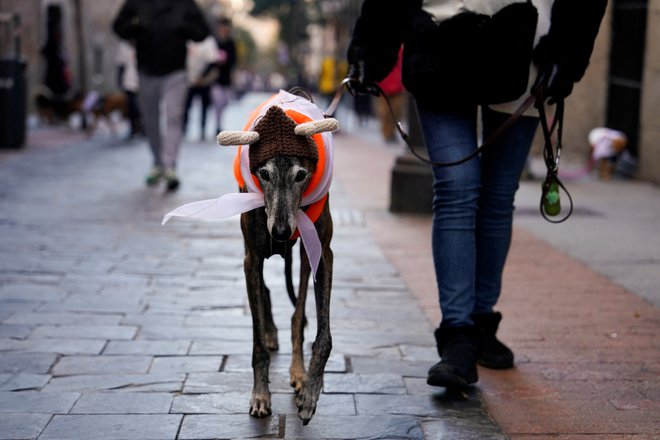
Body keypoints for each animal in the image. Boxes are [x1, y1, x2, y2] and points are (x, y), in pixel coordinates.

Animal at [164, 91, 338, 424]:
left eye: (301, 175)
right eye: (263, 173)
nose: (281, 232)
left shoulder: (323, 253)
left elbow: (322, 334)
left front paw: (310, 392)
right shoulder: (253, 257)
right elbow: (256, 340)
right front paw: (260, 395)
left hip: (304, 256)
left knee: (298, 313)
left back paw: (297, 371)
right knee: (267, 293)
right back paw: (272, 334)